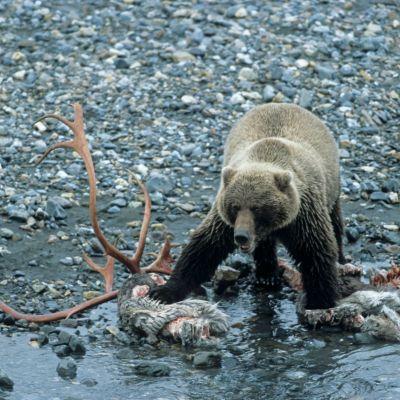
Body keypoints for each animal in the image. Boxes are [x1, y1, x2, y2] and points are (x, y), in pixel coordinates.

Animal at [150, 103, 344, 310]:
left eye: (257, 207)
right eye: (235, 206)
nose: (241, 236)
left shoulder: (303, 214)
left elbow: (315, 252)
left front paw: (320, 301)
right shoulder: (225, 220)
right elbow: (203, 248)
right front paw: (164, 291)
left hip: (332, 188)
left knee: (335, 222)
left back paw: (340, 257)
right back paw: (267, 275)